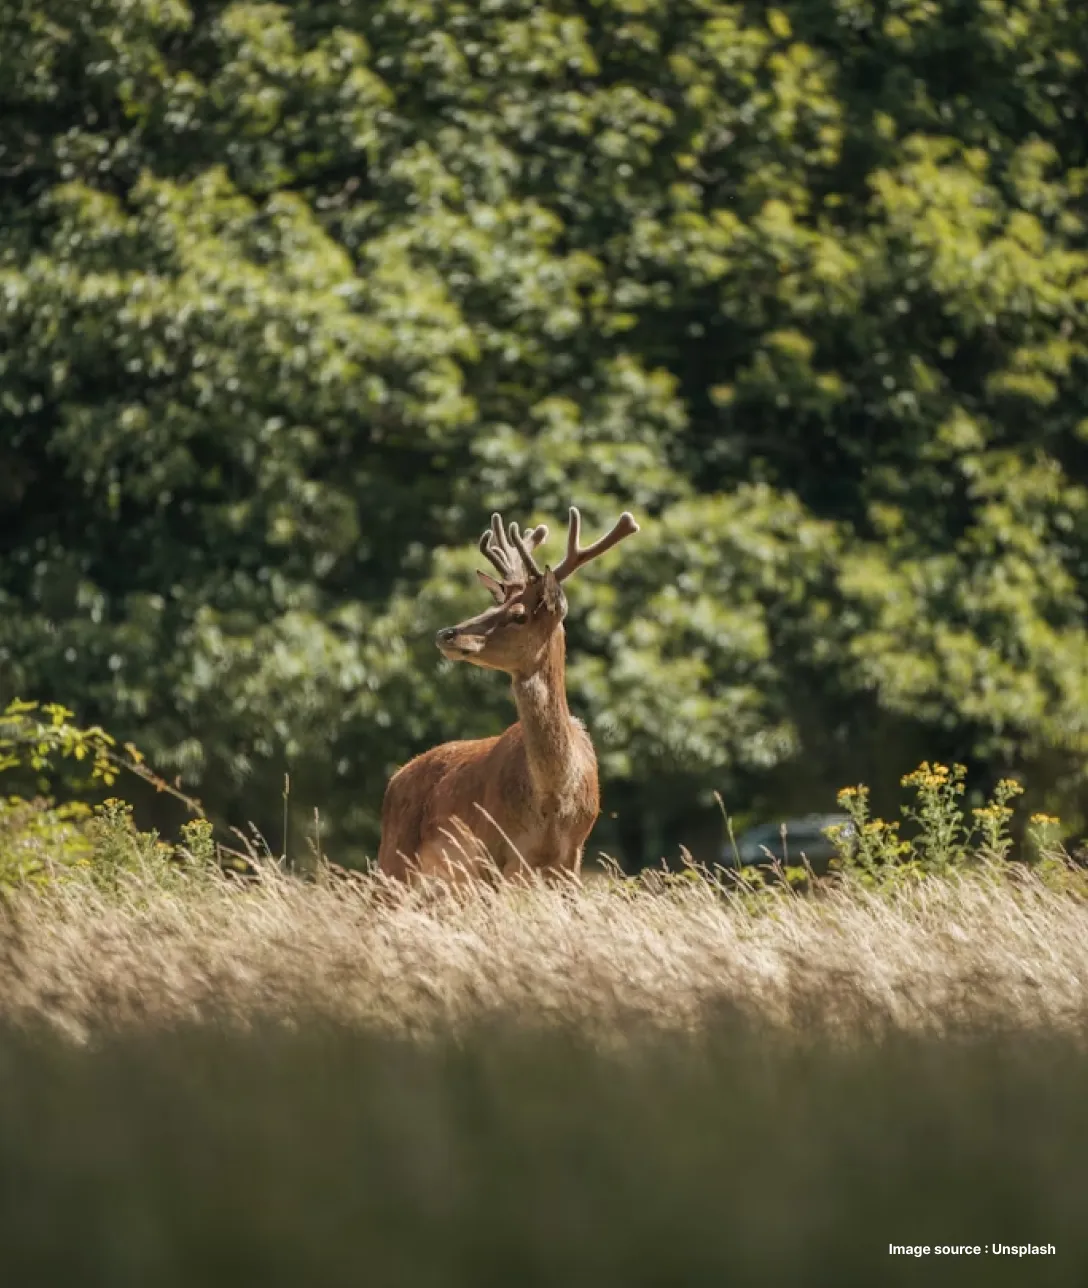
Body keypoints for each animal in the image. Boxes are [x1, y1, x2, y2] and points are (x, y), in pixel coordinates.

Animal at [376, 506, 640, 884]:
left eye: (518, 615)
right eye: (491, 608)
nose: (446, 634)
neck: (553, 799)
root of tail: (395, 779)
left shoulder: (572, 855)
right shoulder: (492, 848)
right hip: (395, 859)